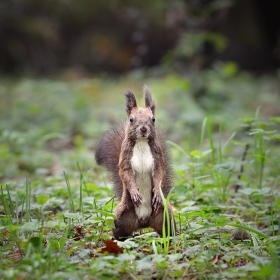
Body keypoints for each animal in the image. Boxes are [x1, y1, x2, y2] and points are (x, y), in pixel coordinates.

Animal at [95, 86, 176, 241]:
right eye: (131, 119)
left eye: (153, 119)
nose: (143, 128)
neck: (142, 143)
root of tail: (144, 223)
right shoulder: (125, 160)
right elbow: (126, 175)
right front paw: (134, 192)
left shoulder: (158, 159)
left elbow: (159, 174)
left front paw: (157, 192)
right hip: (121, 217)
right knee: (120, 232)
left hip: (165, 216)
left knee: (168, 229)